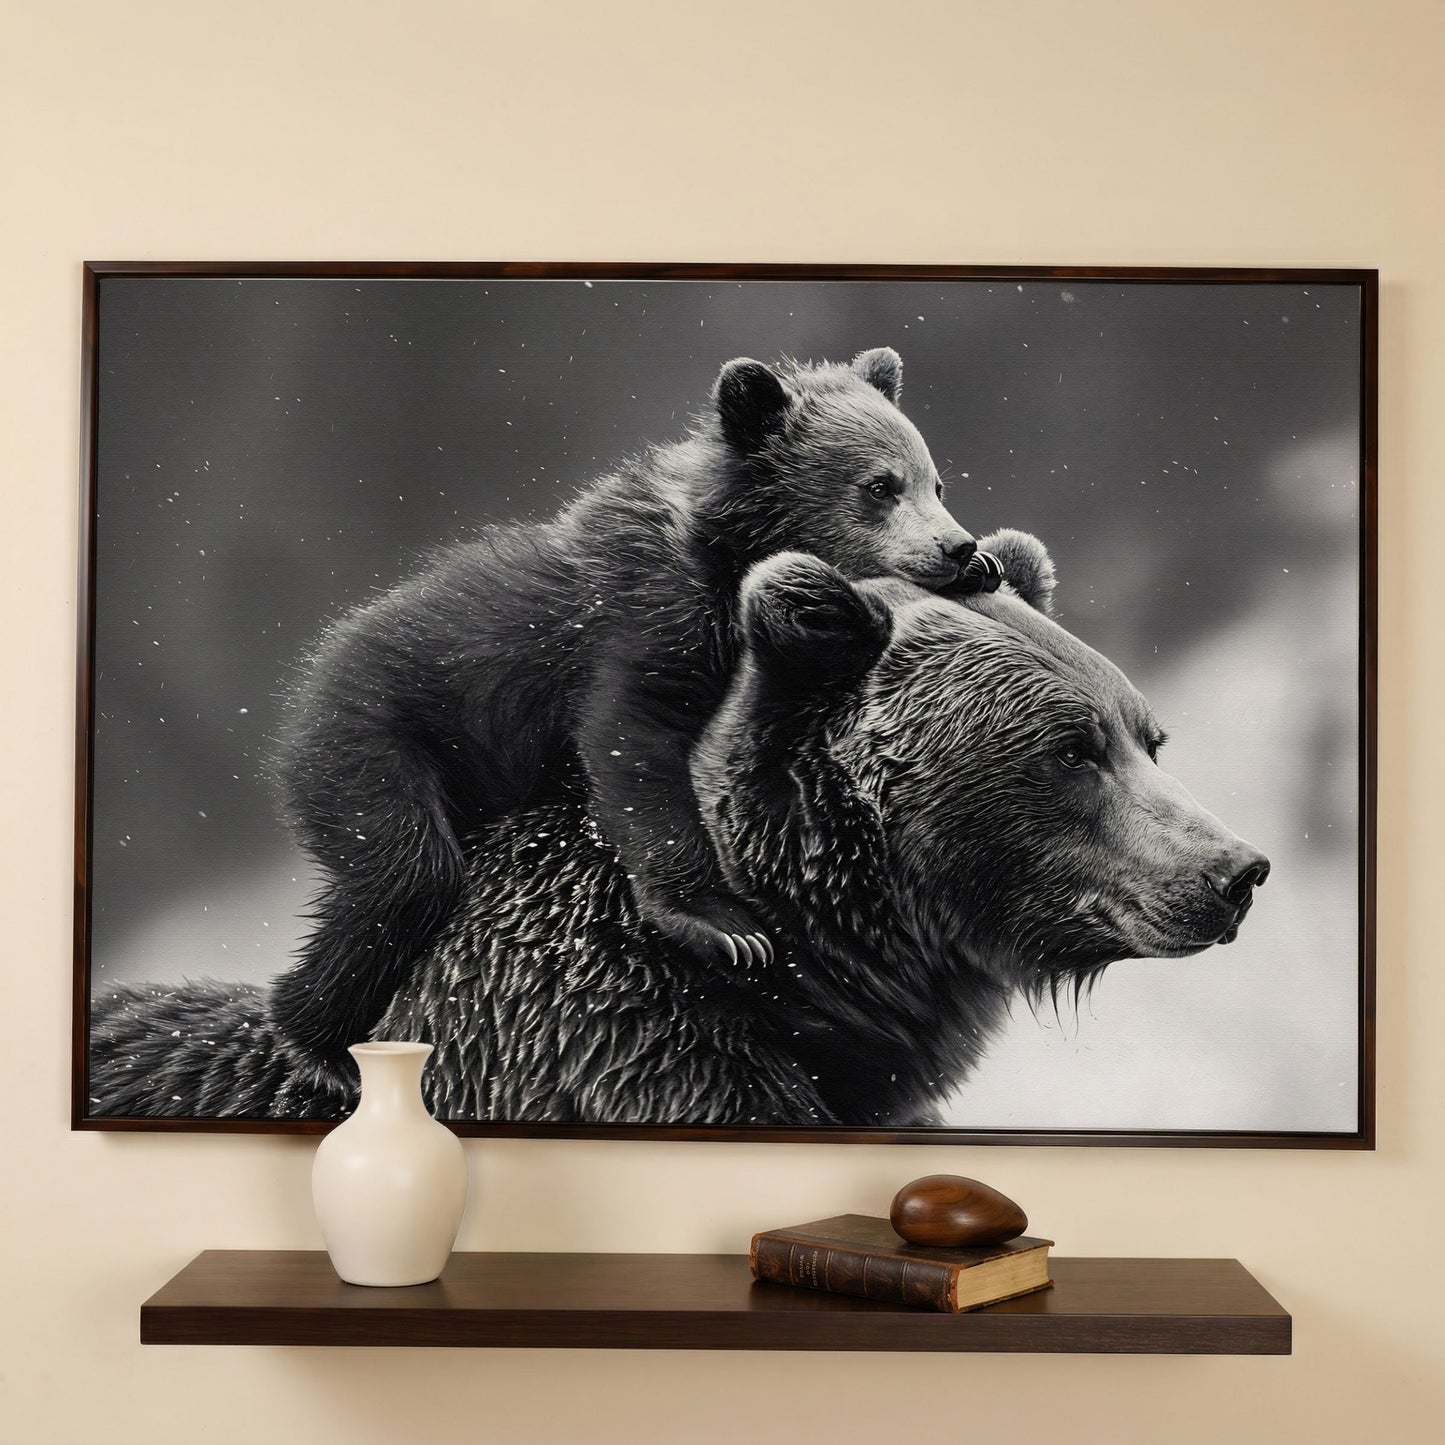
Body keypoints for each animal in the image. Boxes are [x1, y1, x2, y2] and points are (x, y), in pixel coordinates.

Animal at [268, 346, 1003, 1077]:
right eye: (879, 486)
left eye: (935, 483)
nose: (957, 546)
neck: (724, 556)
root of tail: (310, 677)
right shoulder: (646, 618)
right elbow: (635, 745)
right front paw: (724, 926)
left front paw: (990, 566)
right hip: (375, 740)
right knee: (404, 876)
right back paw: (315, 1038)